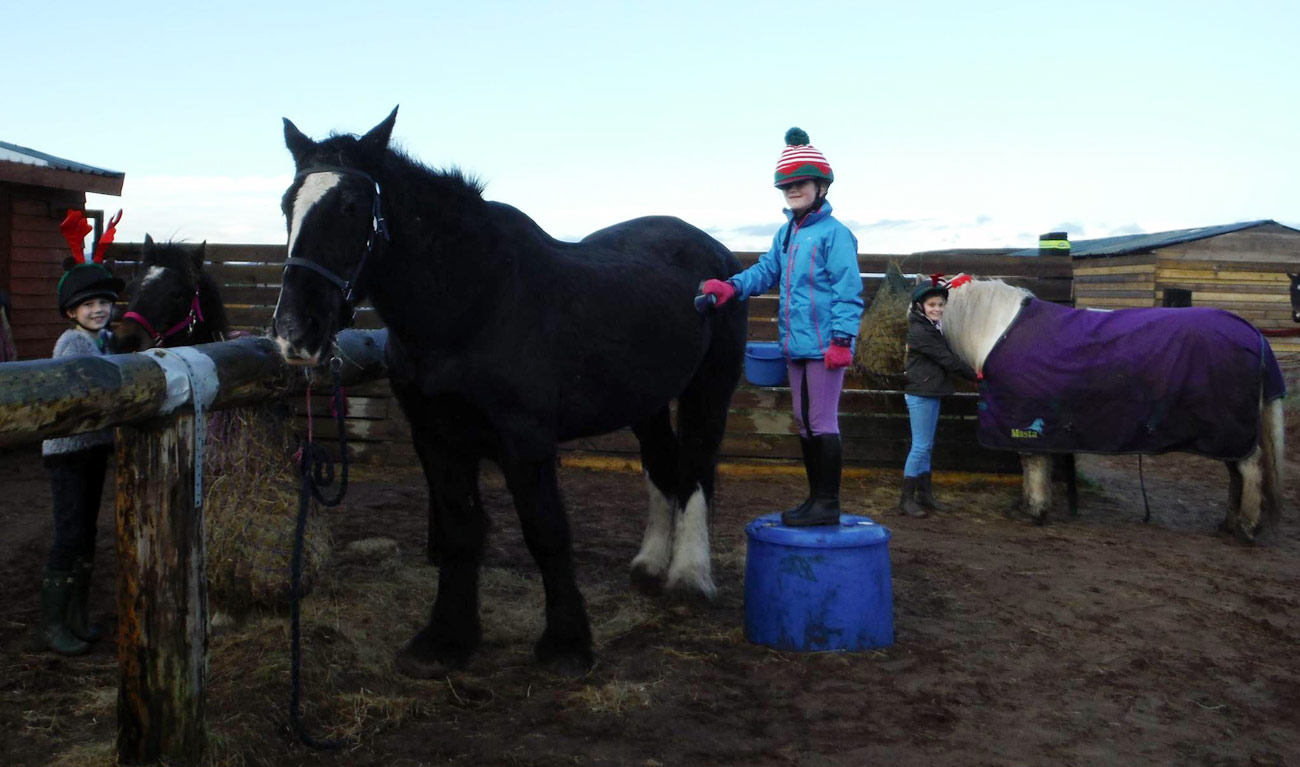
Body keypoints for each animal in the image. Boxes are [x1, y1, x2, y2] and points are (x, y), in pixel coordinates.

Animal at [269, 109, 748, 681]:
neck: (474, 302)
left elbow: (546, 532)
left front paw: (566, 645)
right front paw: (445, 640)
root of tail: (715, 253)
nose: (295, 333)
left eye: (351, 207)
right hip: (646, 399)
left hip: (710, 385)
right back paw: (651, 565)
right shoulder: (436, 437)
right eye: (286, 205)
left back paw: (689, 578)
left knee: (697, 463)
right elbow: (459, 531)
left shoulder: (526, 441)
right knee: (662, 463)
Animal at [941, 275, 1284, 540]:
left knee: (1250, 468)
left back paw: (1247, 526)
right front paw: (1029, 505)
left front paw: (1035, 509)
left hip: (1232, 429)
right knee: (1236, 472)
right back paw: (1227, 523)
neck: (997, 332)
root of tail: (1254, 333)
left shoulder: (1025, 420)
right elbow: (1034, 465)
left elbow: (1034, 465)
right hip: (1226, 435)